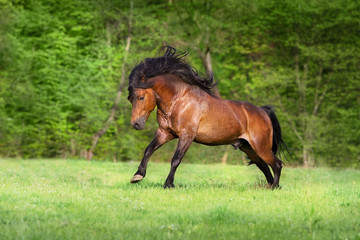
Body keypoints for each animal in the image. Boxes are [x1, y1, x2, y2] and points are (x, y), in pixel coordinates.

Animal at [126, 47, 286, 189]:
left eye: (141, 97)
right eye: (130, 98)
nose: (136, 124)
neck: (180, 100)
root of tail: (263, 111)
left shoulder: (187, 136)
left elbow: (176, 160)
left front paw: (168, 184)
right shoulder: (165, 133)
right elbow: (149, 150)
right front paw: (137, 175)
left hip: (261, 147)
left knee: (277, 164)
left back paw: (275, 187)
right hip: (249, 148)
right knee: (264, 165)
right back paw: (270, 186)